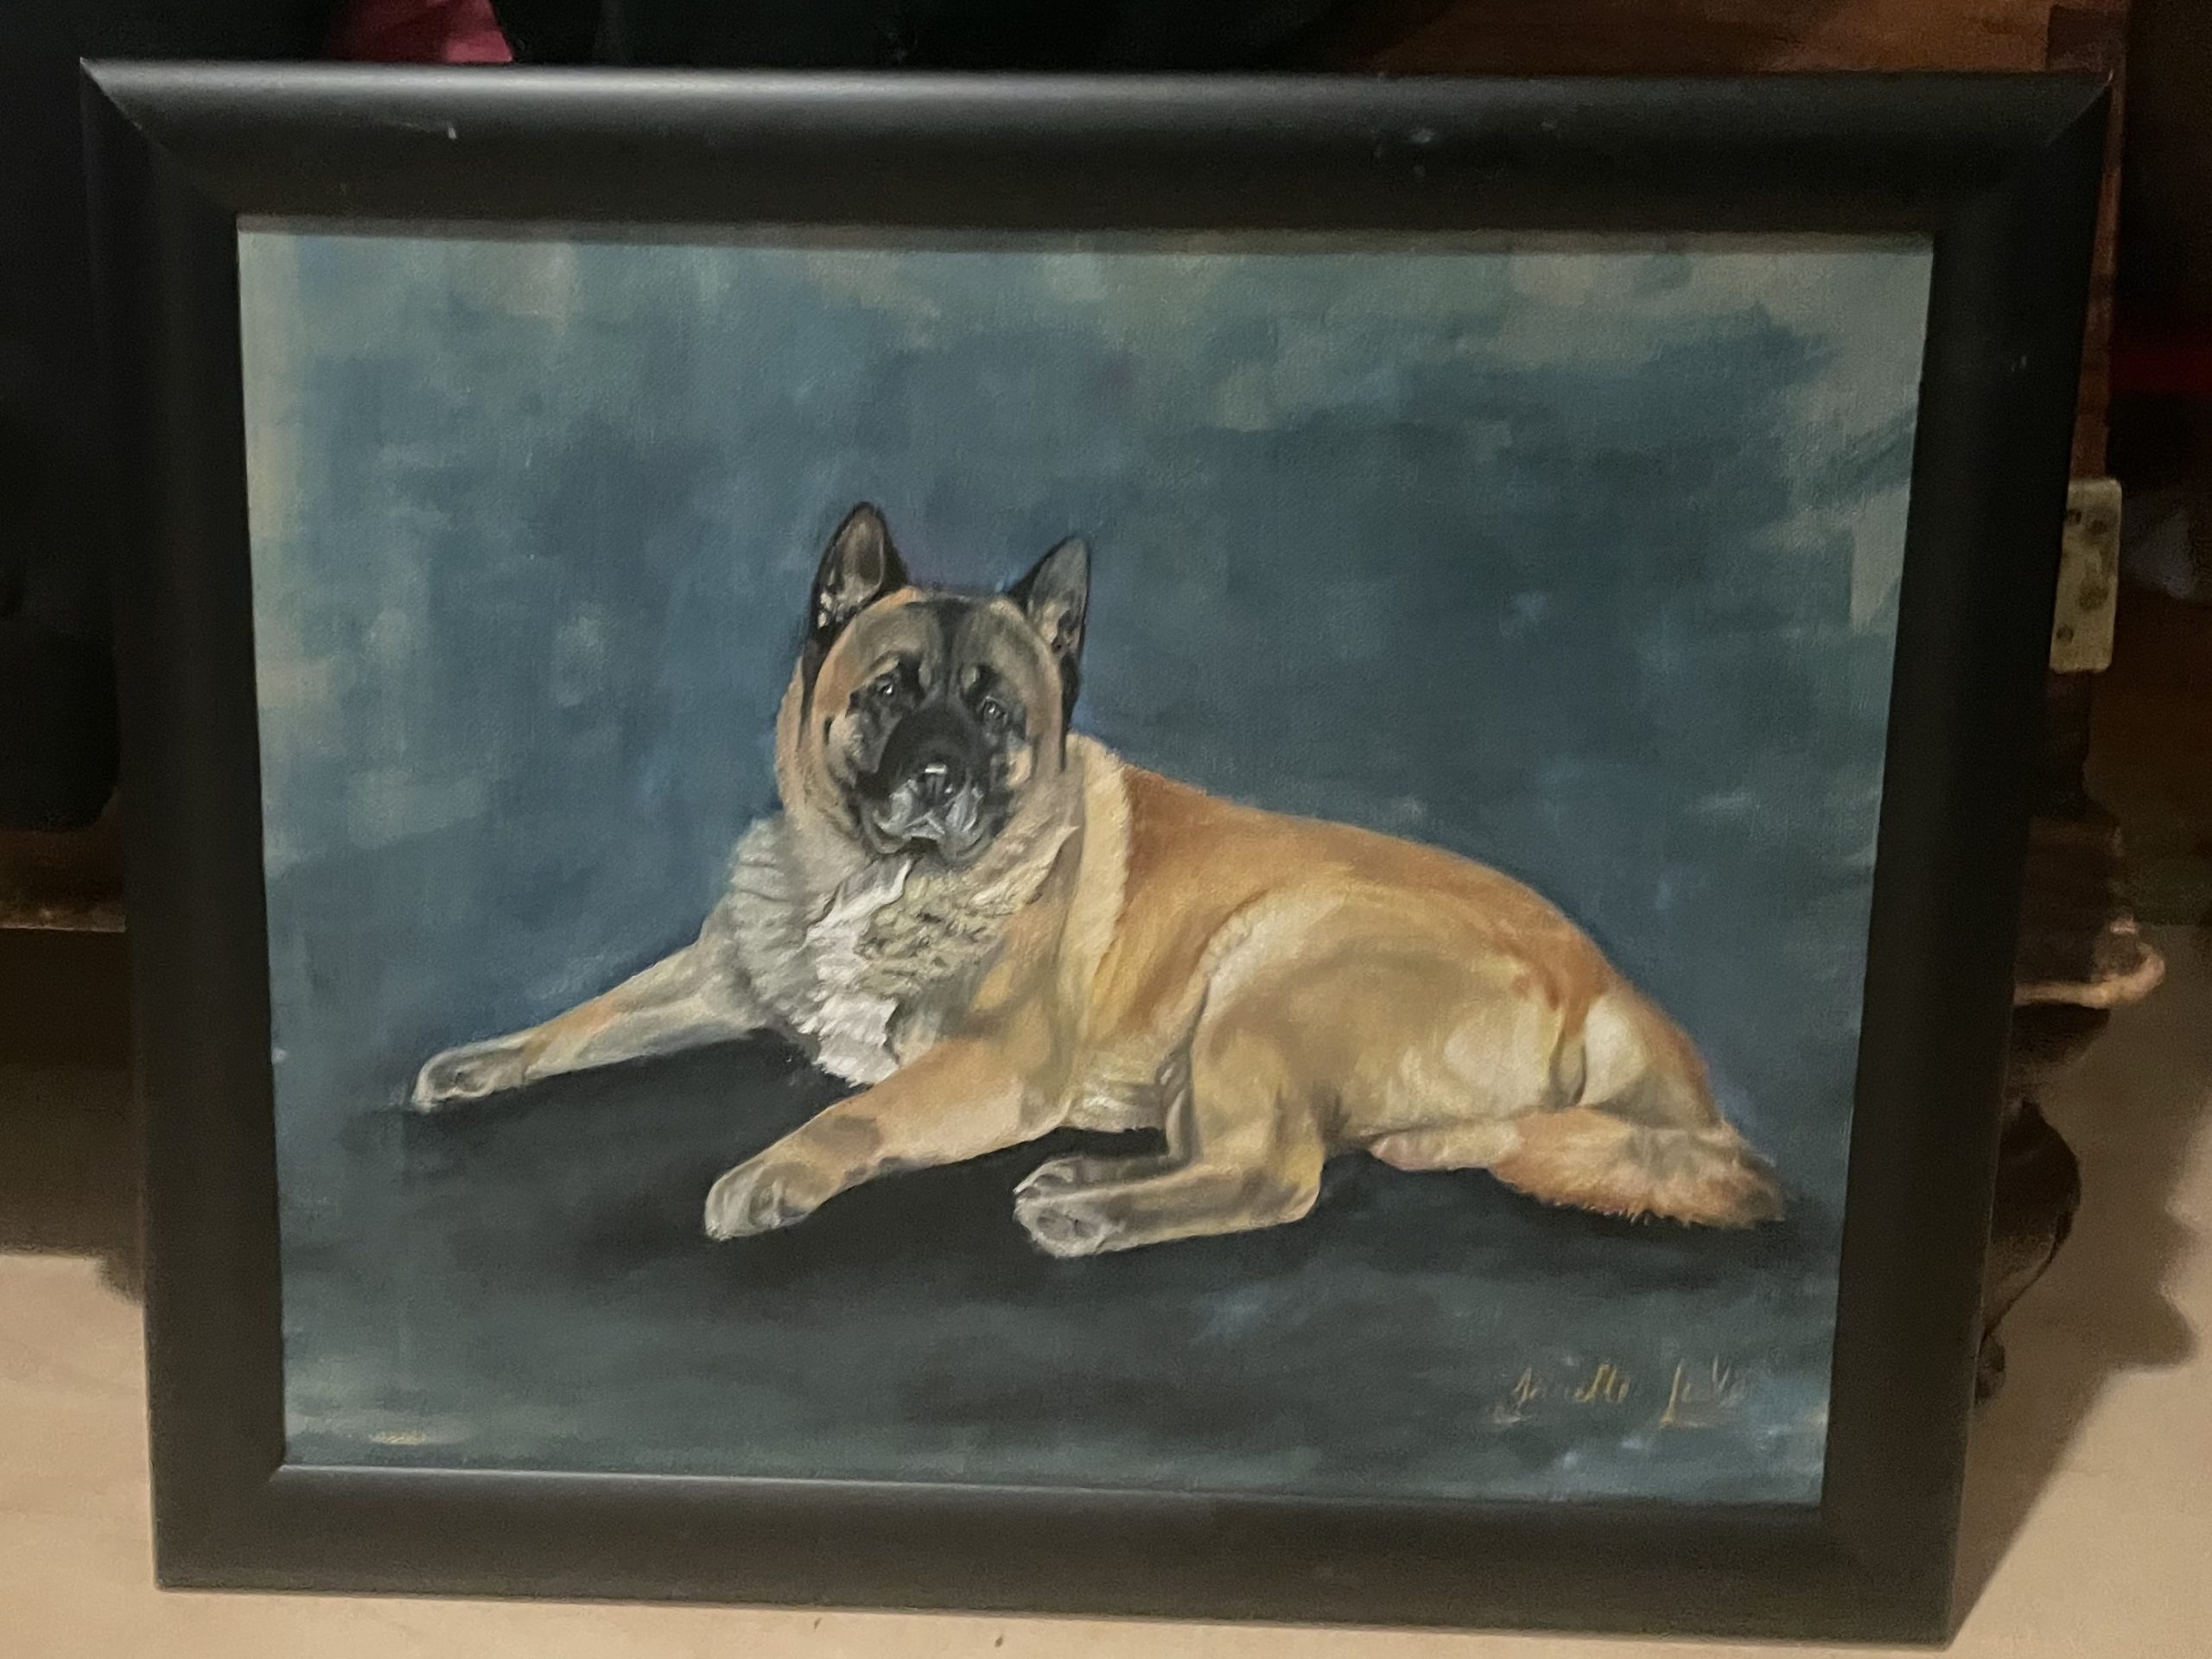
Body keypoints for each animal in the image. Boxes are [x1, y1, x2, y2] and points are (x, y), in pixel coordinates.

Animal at [412, 503, 1783, 1255]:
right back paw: (1093, 1178)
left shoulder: (990, 1066)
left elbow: (853, 1112)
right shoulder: (720, 978)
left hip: (1271, 967)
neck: (878, 879)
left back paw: (1095, 1211)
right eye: (893, 692)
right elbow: (586, 1019)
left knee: (1281, 1176)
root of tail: (1607, 984)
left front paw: (776, 1170)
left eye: (991, 712)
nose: (939, 780)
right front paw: (485, 1059)